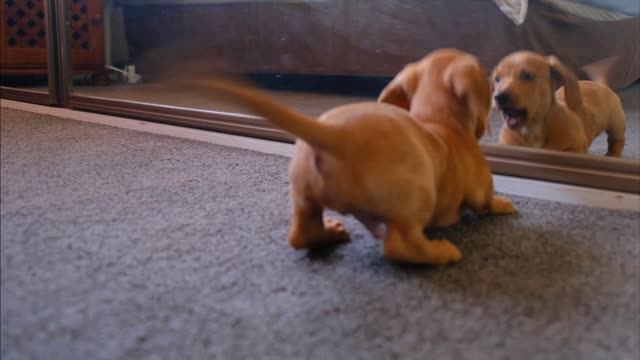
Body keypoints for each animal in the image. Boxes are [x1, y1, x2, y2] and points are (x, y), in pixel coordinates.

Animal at [195, 48, 516, 264]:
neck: (439, 122)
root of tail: (337, 135)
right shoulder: (479, 187)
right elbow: (485, 201)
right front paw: (503, 204)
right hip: (417, 198)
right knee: (399, 245)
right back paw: (439, 252)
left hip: (304, 195)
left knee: (301, 234)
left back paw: (330, 234)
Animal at [490, 51, 624, 156]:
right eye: (497, 79)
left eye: (527, 75)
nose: (499, 97)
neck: (531, 131)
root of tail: (601, 84)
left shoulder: (576, 149)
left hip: (616, 123)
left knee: (616, 140)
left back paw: (612, 155)